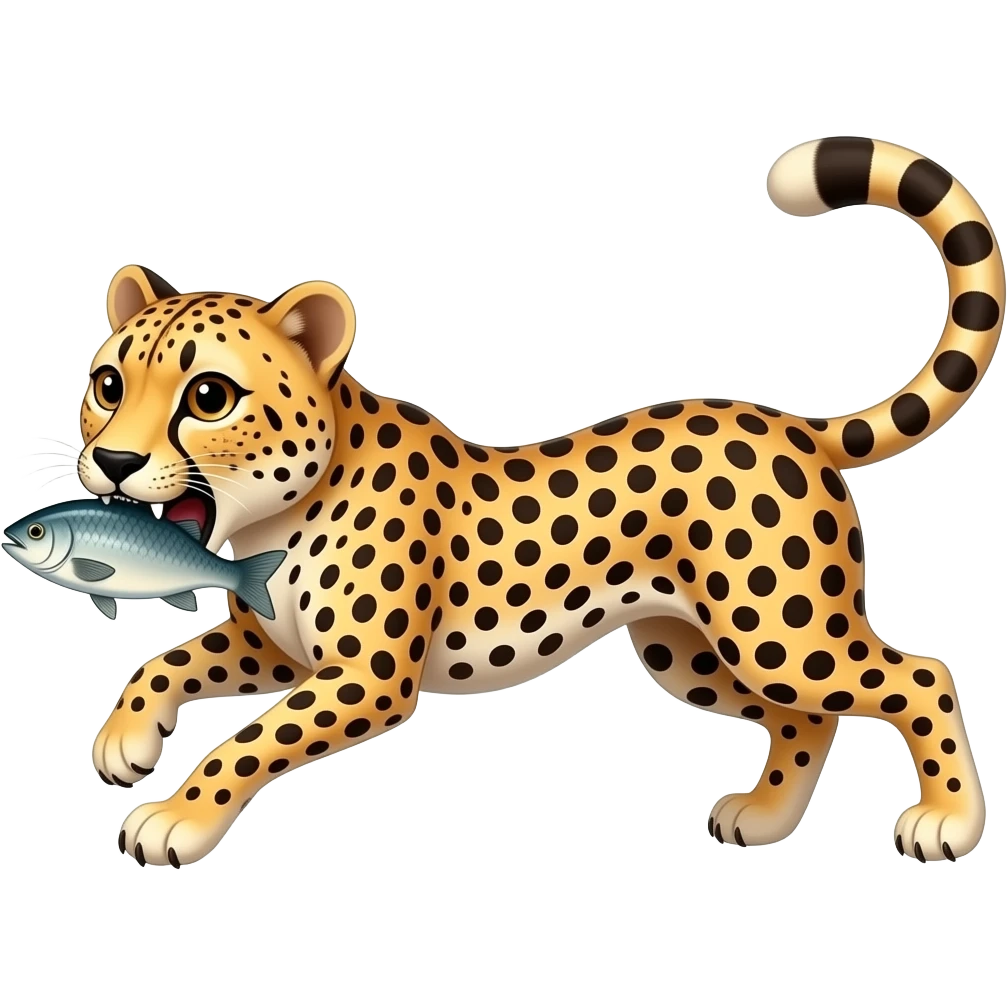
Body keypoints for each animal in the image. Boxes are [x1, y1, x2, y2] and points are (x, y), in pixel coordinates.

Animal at [88, 137, 1001, 867]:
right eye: (108, 384)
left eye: (209, 396)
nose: (111, 461)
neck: (275, 514)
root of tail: (795, 424)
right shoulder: (280, 650)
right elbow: (162, 662)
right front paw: (127, 740)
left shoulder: (365, 677)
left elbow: (245, 744)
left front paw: (175, 817)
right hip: (692, 649)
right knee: (805, 717)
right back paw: (766, 816)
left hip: (779, 632)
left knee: (917, 677)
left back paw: (946, 821)